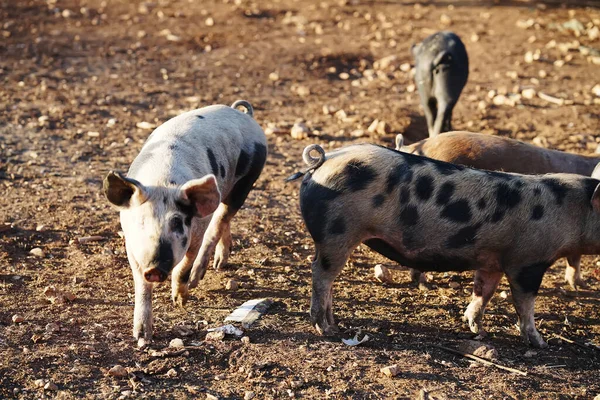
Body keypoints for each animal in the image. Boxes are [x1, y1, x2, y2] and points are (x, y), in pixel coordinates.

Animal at [103, 98, 268, 346]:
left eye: (177, 222)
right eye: (141, 221)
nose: (155, 268)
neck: (162, 182)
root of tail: (243, 114)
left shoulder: (194, 233)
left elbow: (184, 266)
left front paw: (179, 301)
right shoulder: (131, 244)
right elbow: (141, 284)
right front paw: (142, 337)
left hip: (246, 182)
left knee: (220, 221)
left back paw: (201, 276)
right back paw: (220, 264)